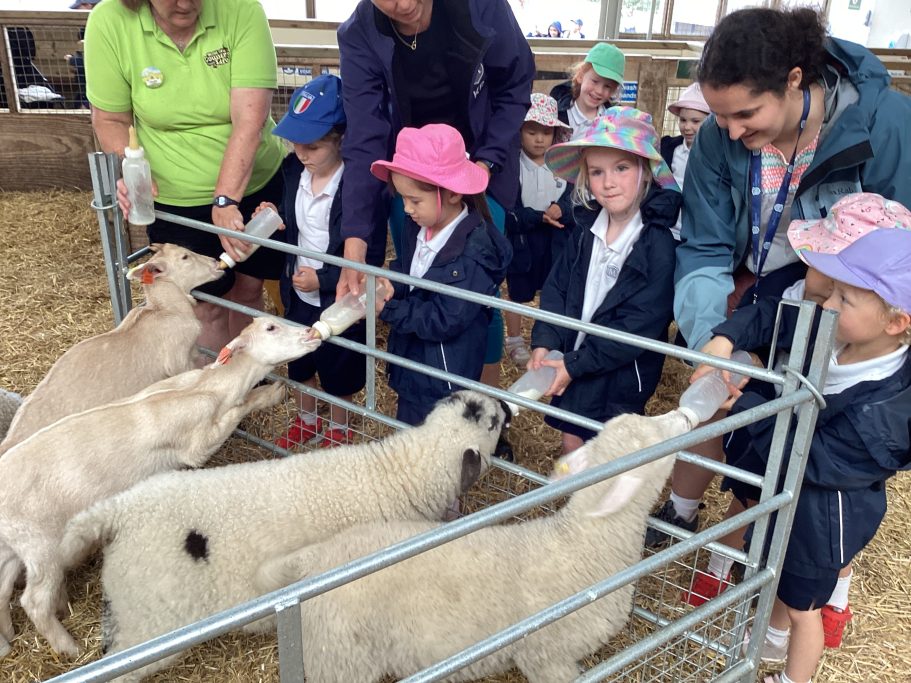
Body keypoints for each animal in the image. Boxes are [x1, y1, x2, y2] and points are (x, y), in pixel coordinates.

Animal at [0, 316, 320, 659]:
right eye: (271, 328)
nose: (310, 332)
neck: (202, 389)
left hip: (15, 545)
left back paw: (8, 638)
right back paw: (68, 647)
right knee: (34, 601)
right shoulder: (199, 445)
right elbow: (237, 411)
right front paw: (271, 393)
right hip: (42, 545)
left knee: (3, 587)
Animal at [58, 391, 510, 680]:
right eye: (491, 422)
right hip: (152, 625)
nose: (507, 404)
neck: (398, 475)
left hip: (127, 607)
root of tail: (118, 512)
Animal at [252, 409, 696, 683]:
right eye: (655, 437)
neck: (582, 547)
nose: (687, 415)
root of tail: (319, 558)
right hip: (340, 658)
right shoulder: (546, 656)